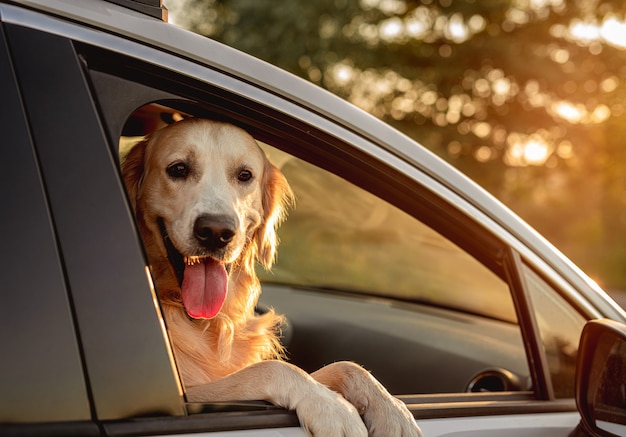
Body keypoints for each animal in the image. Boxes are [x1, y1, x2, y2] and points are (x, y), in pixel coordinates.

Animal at [120, 116, 424, 436]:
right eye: (178, 169)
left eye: (244, 175)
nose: (216, 231)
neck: (207, 322)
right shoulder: (189, 397)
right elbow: (271, 368)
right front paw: (332, 407)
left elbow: (347, 365)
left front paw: (392, 410)